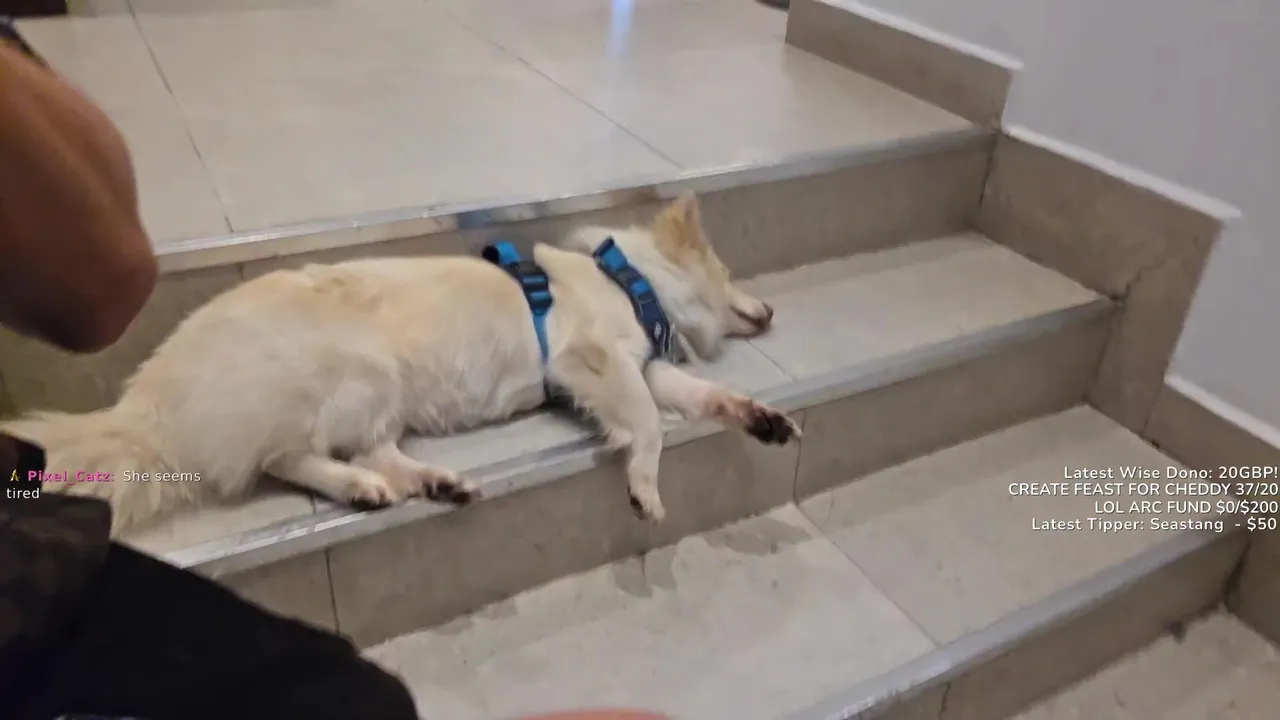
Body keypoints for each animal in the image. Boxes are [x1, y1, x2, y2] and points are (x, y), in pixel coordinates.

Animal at [1, 193, 800, 535]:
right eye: (731, 271)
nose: (771, 308)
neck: (628, 280)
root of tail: (147, 400)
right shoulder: (593, 361)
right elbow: (651, 426)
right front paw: (644, 487)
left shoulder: (645, 366)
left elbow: (703, 393)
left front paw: (762, 418)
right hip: (363, 368)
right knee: (285, 458)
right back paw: (362, 487)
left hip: (380, 396)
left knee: (369, 453)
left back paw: (430, 482)